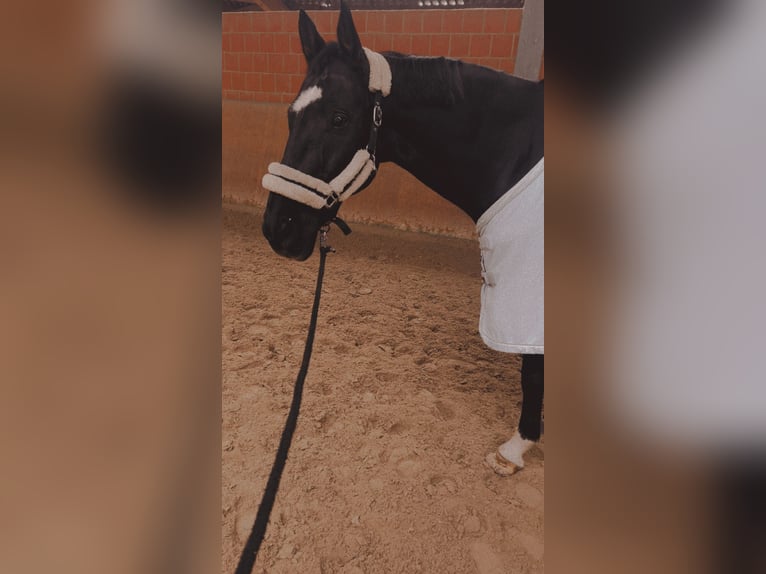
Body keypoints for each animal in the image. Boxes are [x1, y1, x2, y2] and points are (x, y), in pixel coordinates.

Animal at [261, 2, 544, 475]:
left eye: (339, 118)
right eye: (290, 115)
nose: (276, 228)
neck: (519, 153)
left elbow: (533, 369)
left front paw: (514, 450)